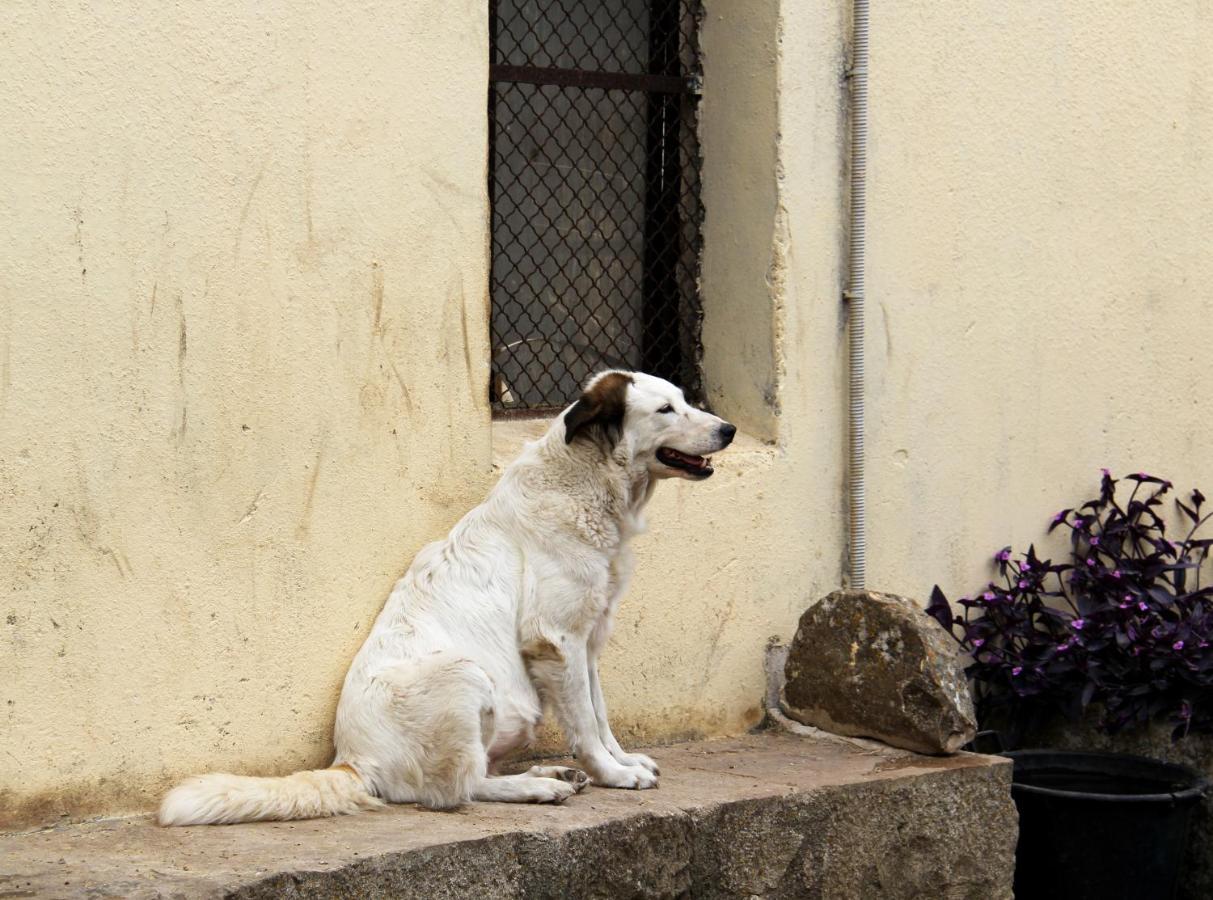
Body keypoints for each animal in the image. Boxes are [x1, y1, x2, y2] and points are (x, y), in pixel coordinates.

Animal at [156, 371, 732, 829]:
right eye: (665, 410)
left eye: (685, 399)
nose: (727, 429)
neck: (587, 483)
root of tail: (352, 761)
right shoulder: (556, 639)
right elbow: (586, 725)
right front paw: (613, 774)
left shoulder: (588, 638)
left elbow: (600, 713)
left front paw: (623, 762)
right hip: (465, 672)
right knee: (456, 790)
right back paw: (538, 786)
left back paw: (549, 772)